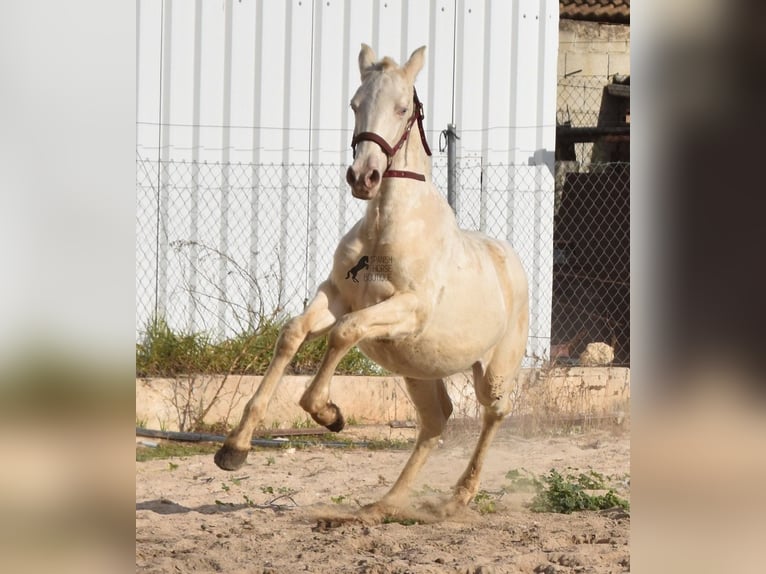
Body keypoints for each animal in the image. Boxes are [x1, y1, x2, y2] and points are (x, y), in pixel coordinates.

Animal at [216, 45, 528, 520]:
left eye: (402, 108)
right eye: (355, 104)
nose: (363, 177)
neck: (384, 228)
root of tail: (512, 263)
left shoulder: (408, 310)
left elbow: (345, 333)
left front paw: (328, 413)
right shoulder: (336, 296)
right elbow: (293, 334)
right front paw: (234, 449)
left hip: (494, 371)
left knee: (494, 414)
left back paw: (455, 499)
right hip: (417, 371)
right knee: (435, 422)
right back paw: (385, 503)